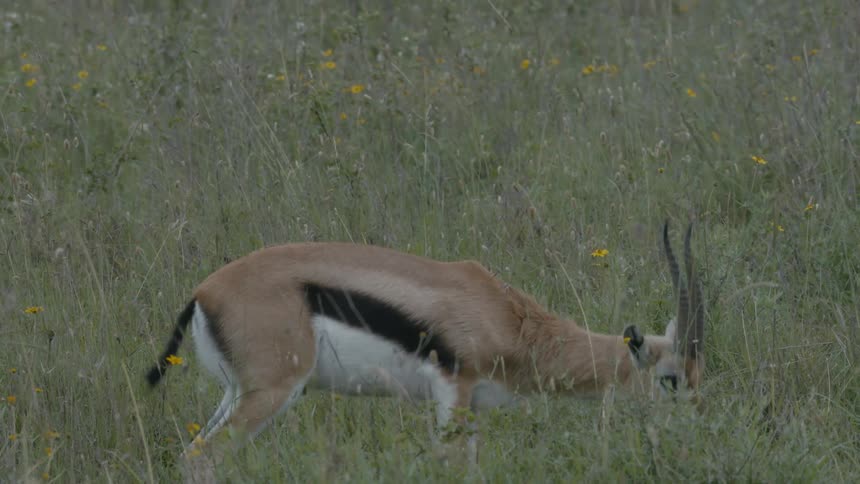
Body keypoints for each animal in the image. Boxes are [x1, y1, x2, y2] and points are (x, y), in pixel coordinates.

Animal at [146, 221, 704, 455]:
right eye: (672, 379)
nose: (699, 427)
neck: (506, 318)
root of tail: (204, 292)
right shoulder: (453, 391)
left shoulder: (474, 407)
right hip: (273, 392)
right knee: (203, 458)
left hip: (238, 392)